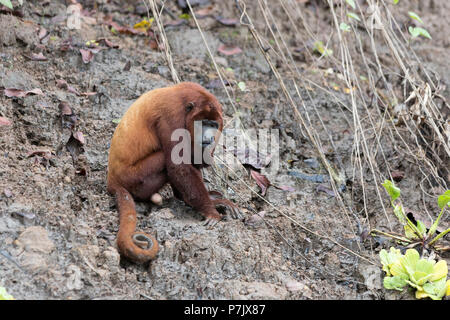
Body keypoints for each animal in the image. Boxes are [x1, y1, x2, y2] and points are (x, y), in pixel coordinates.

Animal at [107, 81, 243, 264]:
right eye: (203, 123)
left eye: (213, 125)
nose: (209, 138)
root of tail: (112, 180)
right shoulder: (172, 117)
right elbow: (179, 166)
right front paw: (211, 212)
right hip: (135, 178)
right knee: (165, 159)